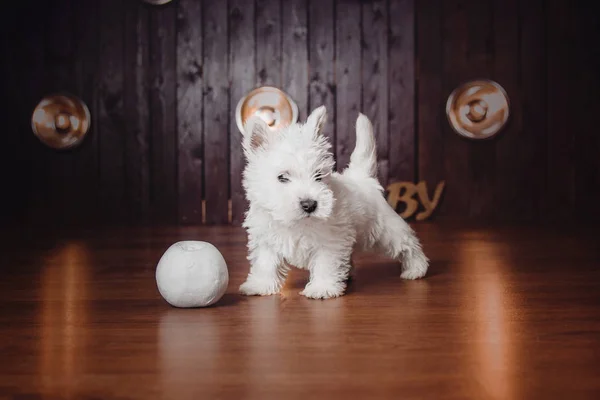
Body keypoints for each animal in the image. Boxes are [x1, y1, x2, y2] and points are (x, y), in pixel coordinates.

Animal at [237, 104, 428, 298]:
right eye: (282, 177)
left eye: (318, 175)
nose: (310, 205)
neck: (296, 223)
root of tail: (363, 178)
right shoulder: (266, 240)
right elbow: (265, 264)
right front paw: (260, 285)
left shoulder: (330, 242)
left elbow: (325, 264)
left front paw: (322, 288)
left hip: (385, 230)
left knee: (408, 244)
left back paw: (416, 268)